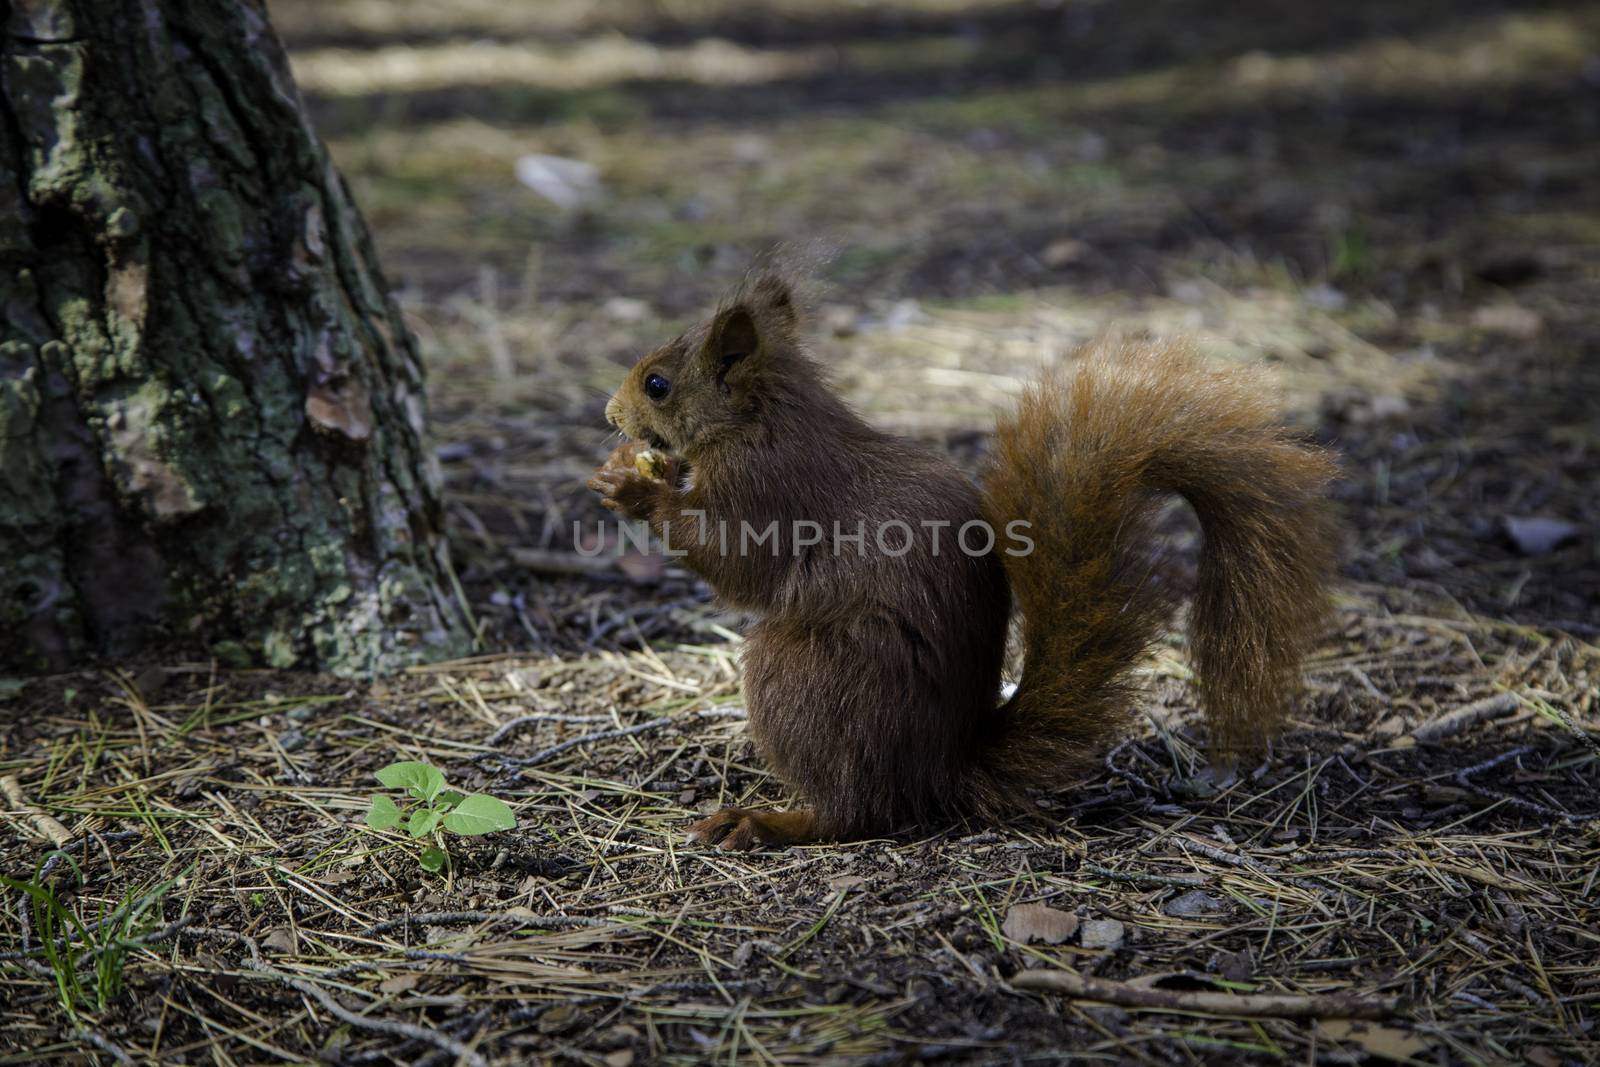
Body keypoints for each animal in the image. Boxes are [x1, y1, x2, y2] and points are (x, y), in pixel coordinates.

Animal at [588, 275, 1337, 851]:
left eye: (657, 383)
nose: (609, 411)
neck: (765, 415)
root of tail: (943, 767)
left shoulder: (769, 487)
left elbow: (738, 562)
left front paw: (637, 488)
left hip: (803, 676)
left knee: (855, 812)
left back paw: (765, 821)